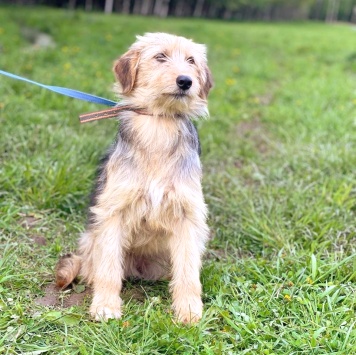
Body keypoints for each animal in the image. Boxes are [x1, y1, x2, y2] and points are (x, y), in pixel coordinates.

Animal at [55, 33, 211, 326]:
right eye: (160, 56)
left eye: (191, 60)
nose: (186, 81)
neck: (158, 125)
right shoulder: (113, 211)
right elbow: (108, 268)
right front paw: (105, 306)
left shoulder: (187, 214)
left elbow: (187, 272)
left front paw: (188, 309)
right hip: (91, 241)